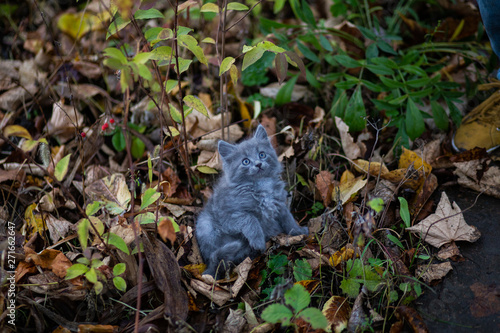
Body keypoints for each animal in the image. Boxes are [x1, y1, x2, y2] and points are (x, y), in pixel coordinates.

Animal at [195, 123, 308, 276]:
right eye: (246, 161)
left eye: (262, 154)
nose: (258, 164)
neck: (261, 184)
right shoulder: (228, 215)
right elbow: (250, 219)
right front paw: (258, 241)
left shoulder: (280, 206)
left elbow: (288, 220)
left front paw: (298, 232)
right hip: (205, 224)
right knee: (215, 257)